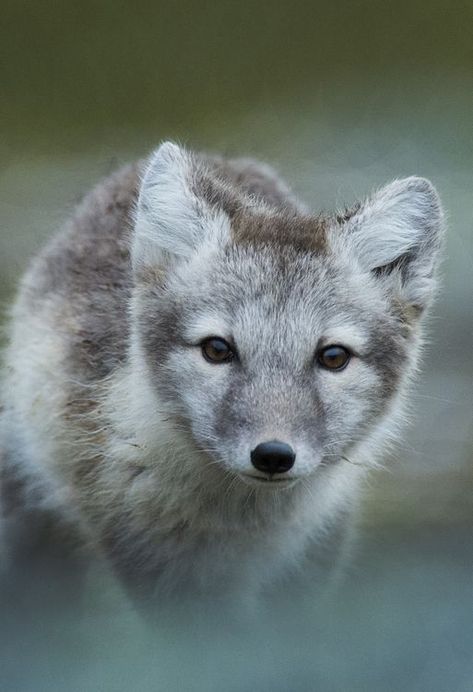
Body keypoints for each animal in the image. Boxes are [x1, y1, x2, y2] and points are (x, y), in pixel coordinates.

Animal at [0, 143, 442, 596]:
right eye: (217, 349)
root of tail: (215, 155)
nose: (273, 456)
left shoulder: (315, 552)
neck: (244, 523)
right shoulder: (153, 563)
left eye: (333, 357)